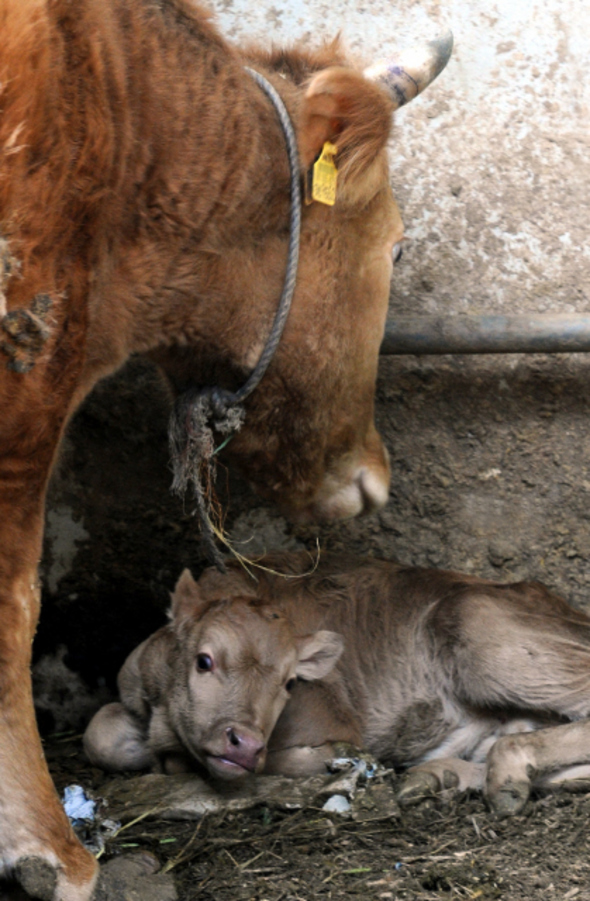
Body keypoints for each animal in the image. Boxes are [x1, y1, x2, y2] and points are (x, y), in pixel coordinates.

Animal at [84, 548, 590, 816]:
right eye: (203, 660)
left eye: (291, 683)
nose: (244, 744)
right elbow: (98, 734)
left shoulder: (332, 727)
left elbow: (295, 763)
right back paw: (439, 776)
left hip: (480, 628)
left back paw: (503, 774)